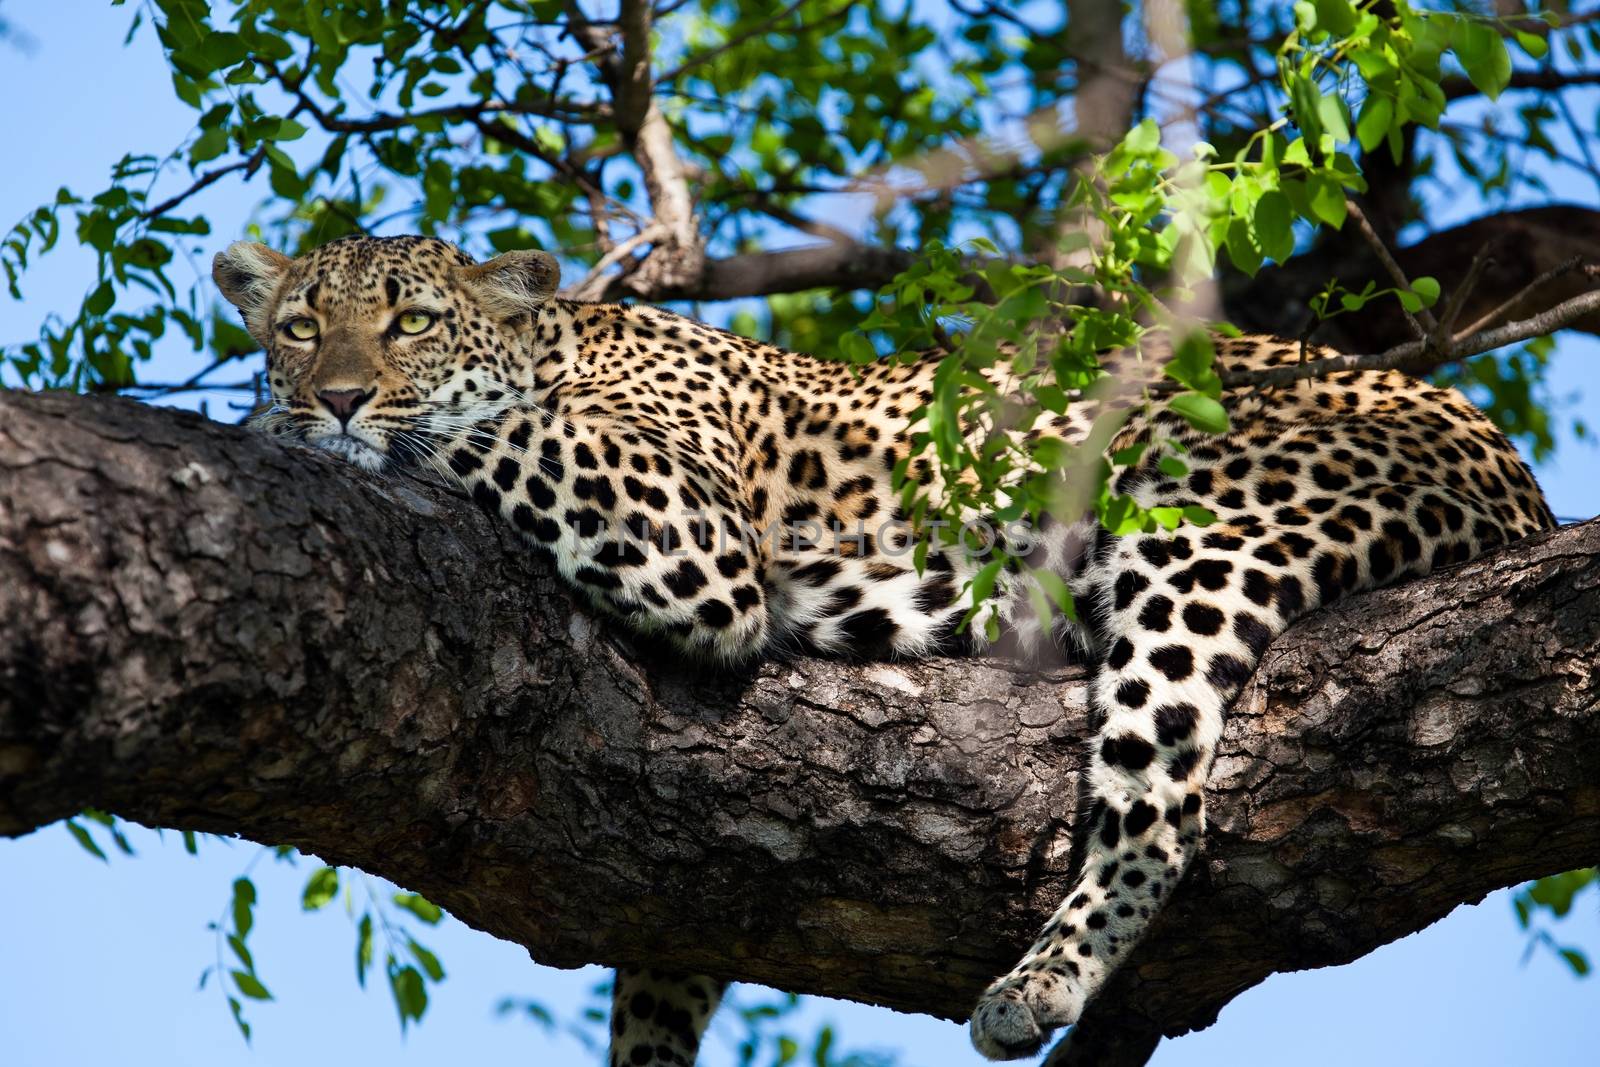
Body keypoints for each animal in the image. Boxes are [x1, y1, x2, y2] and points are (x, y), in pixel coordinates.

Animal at [209, 233, 1548, 1067]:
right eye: (299, 325)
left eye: (409, 323)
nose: (332, 392)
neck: (565, 345)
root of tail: (1513, 474)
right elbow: (657, 983)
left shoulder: (684, 524)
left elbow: (475, 435)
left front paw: (291, 429)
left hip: (1194, 531)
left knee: (1162, 805)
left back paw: (1037, 986)